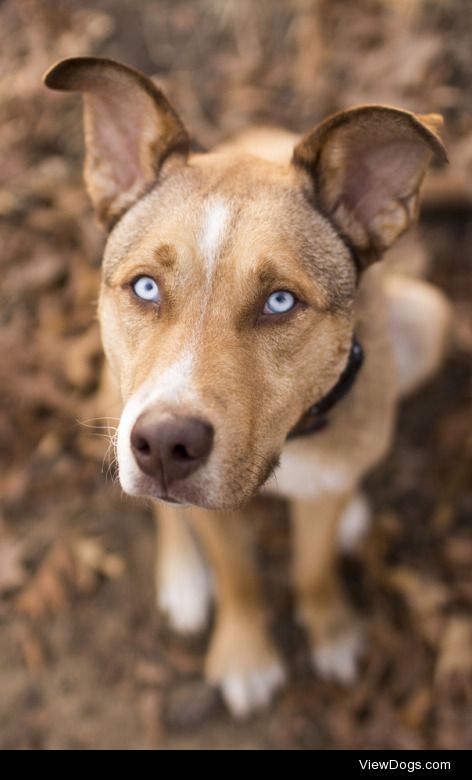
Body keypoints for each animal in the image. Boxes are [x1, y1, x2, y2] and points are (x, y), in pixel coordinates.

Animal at [46, 58, 452, 720]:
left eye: (279, 301)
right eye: (146, 288)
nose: (164, 446)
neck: (289, 444)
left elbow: (312, 567)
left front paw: (331, 631)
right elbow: (237, 575)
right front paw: (244, 657)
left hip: (429, 318)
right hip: (115, 392)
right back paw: (183, 577)